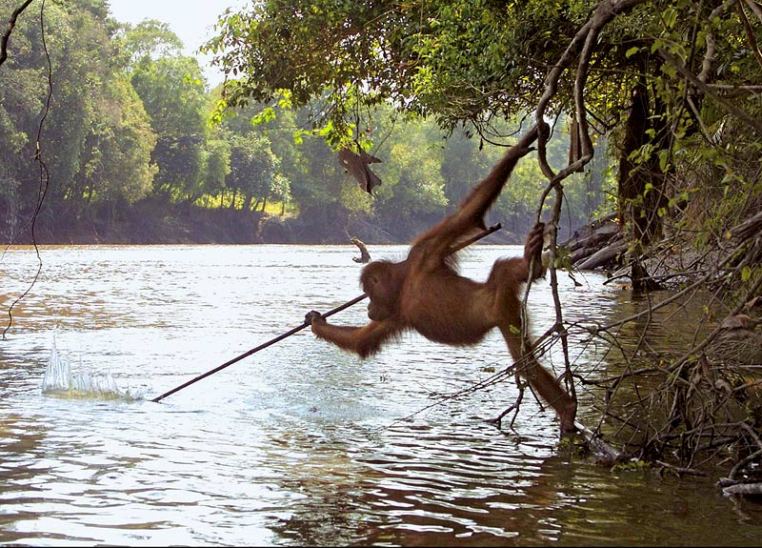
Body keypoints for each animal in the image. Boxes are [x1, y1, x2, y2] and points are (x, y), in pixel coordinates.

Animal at [305, 124, 577, 434]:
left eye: (370, 293)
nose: (368, 308)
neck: (406, 281)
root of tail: (500, 297)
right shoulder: (396, 313)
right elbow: (363, 340)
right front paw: (317, 322)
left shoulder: (426, 250)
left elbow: (465, 216)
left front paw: (519, 148)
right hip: (505, 297)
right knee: (503, 272)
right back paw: (533, 259)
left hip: (502, 309)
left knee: (525, 363)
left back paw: (566, 408)